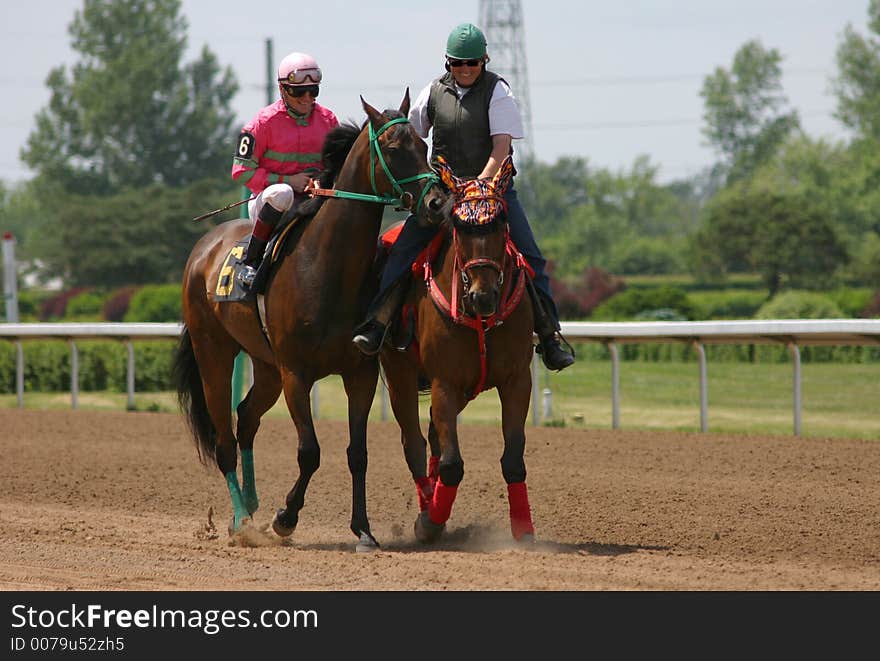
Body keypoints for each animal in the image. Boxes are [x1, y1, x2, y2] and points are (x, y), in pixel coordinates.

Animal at [173, 90, 446, 548]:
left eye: (423, 146)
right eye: (394, 148)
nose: (438, 203)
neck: (326, 267)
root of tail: (204, 246)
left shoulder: (359, 372)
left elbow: (358, 453)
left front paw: (363, 530)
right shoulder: (295, 373)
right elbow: (310, 451)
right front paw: (286, 517)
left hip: (264, 364)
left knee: (247, 418)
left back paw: (251, 504)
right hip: (215, 352)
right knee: (225, 438)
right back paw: (242, 521)